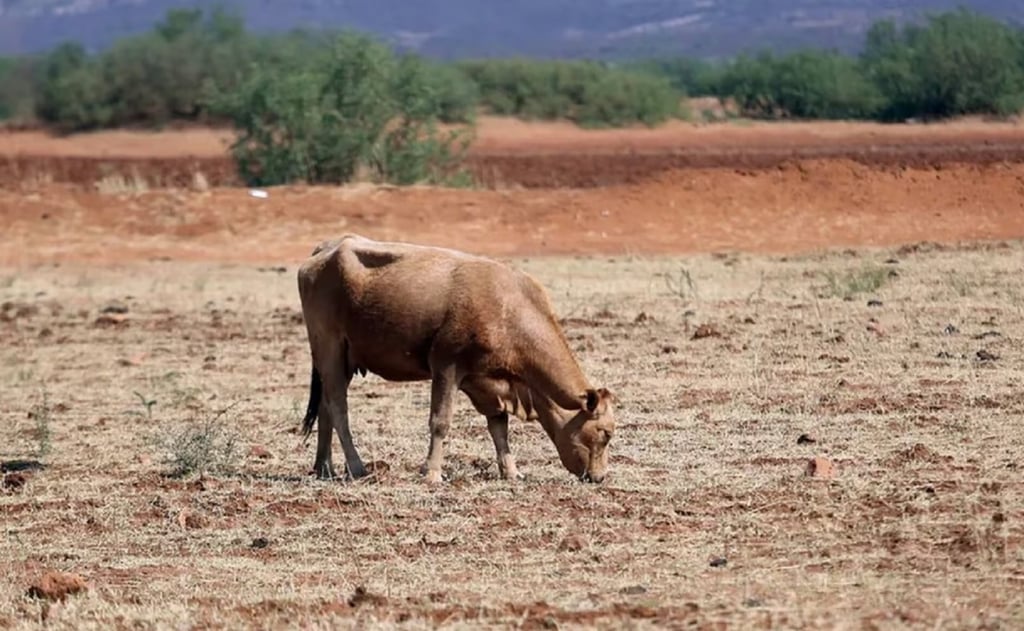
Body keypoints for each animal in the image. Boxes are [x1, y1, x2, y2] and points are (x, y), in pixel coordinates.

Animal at [296, 234, 614, 485]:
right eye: (606, 432)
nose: (599, 477)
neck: (509, 309)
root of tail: (328, 248)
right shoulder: (446, 365)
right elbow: (441, 421)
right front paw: (432, 472)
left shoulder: (484, 380)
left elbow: (499, 426)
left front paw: (511, 471)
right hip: (329, 347)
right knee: (339, 408)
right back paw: (357, 467)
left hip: (343, 360)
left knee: (325, 407)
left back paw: (324, 467)